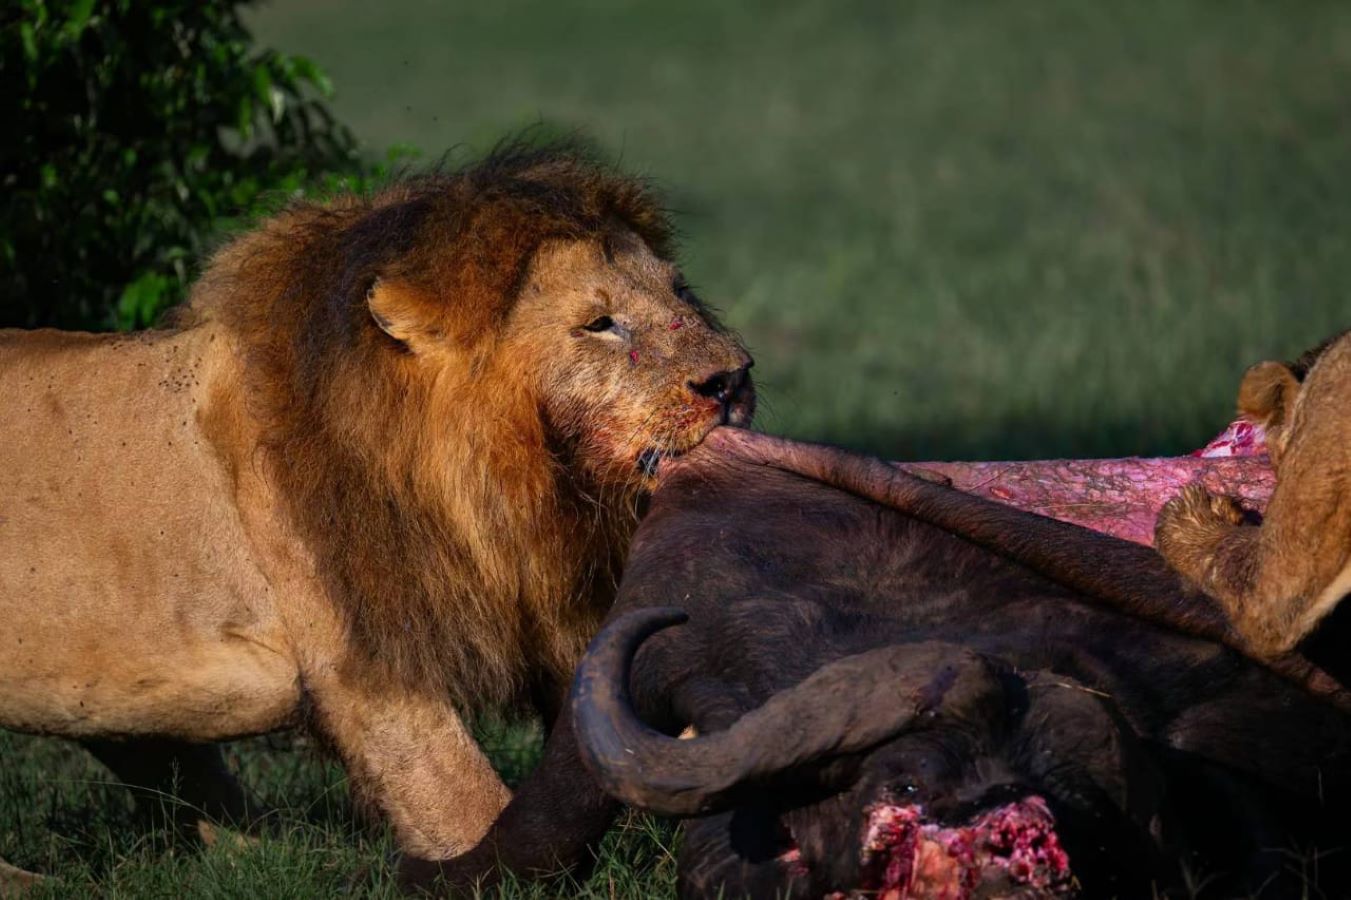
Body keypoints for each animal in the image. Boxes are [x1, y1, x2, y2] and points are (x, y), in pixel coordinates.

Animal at [0, 142, 754, 886]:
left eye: (681, 294)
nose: (733, 378)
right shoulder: (366, 663)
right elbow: (471, 807)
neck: (516, 499)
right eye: (599, 323)